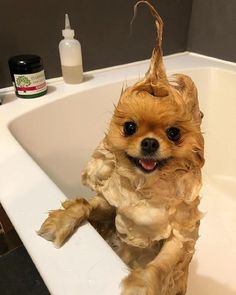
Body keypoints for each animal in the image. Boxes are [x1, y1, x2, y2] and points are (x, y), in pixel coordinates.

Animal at [37, 2, 204, 295]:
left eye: (173, 133)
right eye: (129, 127)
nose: (149, 142)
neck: (145, 190)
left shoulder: (178, 237)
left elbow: (160, 266)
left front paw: (141, 285)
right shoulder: (111, 207)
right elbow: (86, 204)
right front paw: (62, 220)